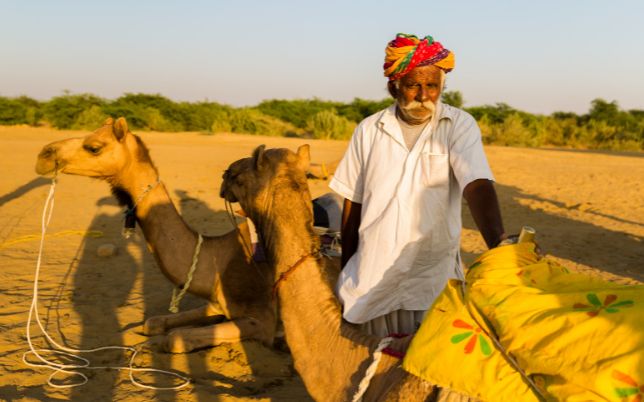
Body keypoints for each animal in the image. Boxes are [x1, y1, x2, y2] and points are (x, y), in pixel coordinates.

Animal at [34, 116, 276, 352]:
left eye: (94, 147)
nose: (43, 154)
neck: (221, 257)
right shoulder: (218, 303)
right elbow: (154, 322)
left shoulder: (262, 322)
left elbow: (176, 338)